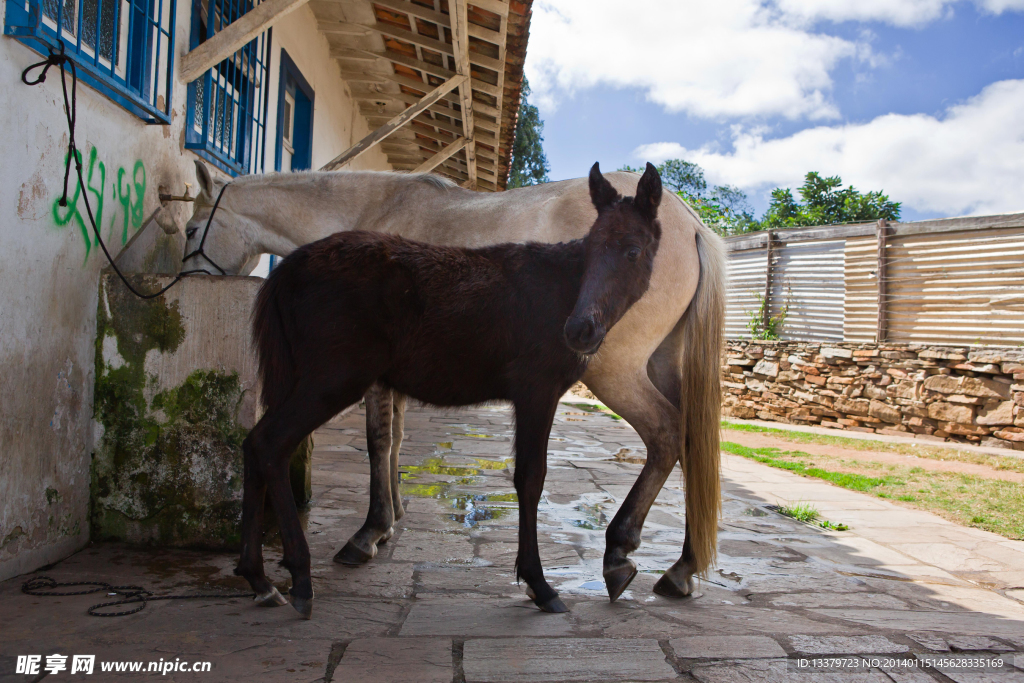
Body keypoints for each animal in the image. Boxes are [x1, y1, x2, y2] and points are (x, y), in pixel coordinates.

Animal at [186, 161, 729, 602]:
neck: (376, 207)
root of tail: (692, 223)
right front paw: (389, 521)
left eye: (191, 229)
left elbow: (381, 440)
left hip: (615, 371)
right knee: (691, 441)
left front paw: (372, 530)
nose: (185, 279)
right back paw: (679, 567)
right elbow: (393, 441)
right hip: (659, 365)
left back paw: (626, 553)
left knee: (666, 434)